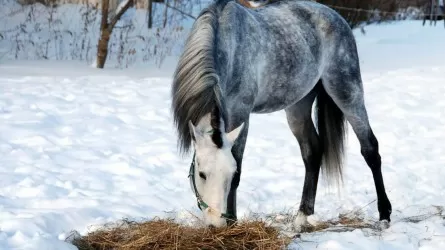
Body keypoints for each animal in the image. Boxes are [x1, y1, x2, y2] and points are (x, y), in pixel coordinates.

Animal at [172, 0, 390, 229]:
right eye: (202, 174)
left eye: (229, 174)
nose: (216, 225)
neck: (224, 45)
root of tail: (336, 17)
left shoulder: (241, 113)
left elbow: (238, 168)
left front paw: (232, 222)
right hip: (298, 106)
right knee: (312, 152)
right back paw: (302, 216)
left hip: (347, 91)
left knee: (370, 148)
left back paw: (384, 214)